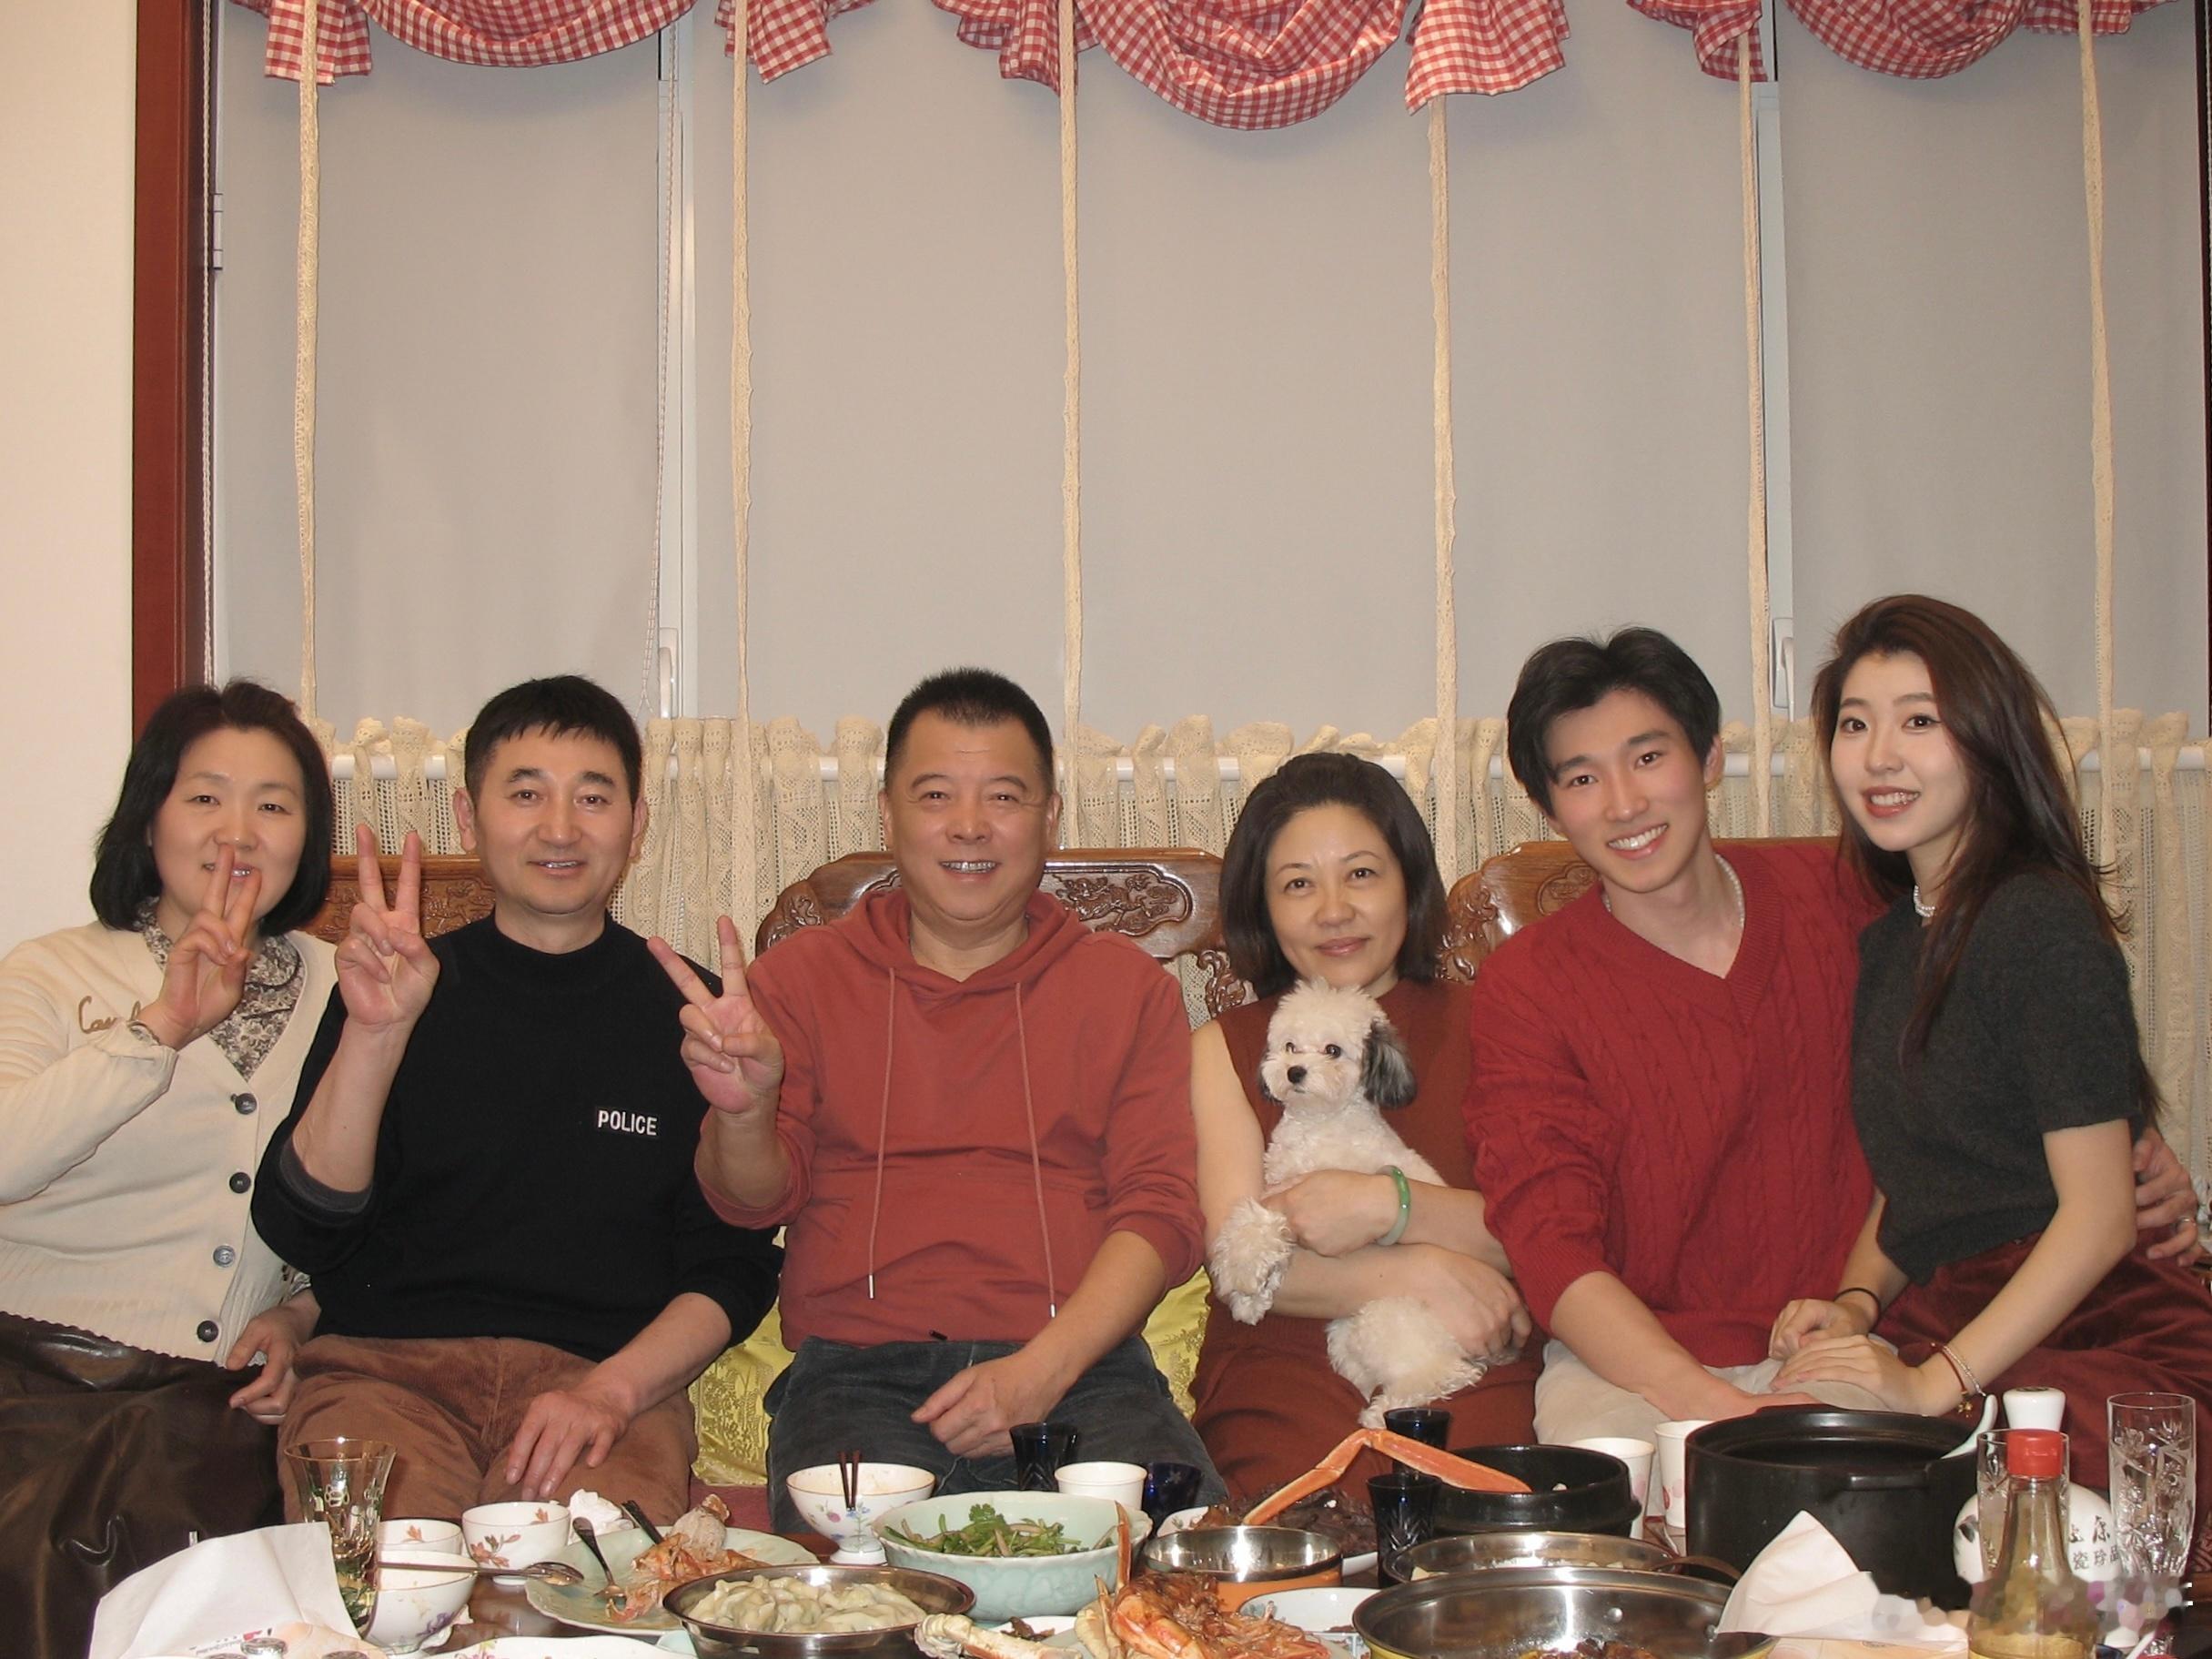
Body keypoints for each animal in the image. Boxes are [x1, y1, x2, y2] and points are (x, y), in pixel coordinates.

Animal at [1207, 979, 1488, 1426]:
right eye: (1290, 1046)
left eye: (1333, 1050)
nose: (1294, 1071)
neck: (1318, 1123)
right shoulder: (1281, 1189)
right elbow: (1256, 1231)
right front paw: (1250, 1299)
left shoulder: (1301, 1198)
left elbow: (1259, 1224)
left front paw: (1244, 1272)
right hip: (1346, 1334)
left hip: (1386, 1318)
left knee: (1442, 1373)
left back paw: (1384, 1414)